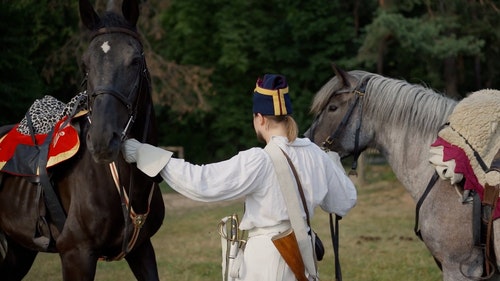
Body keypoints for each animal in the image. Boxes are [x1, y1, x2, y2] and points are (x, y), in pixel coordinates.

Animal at [0, 1, 165, 278]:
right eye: (85, 64)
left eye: (135, 60)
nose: (101, 140)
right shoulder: (76, 256)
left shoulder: (142, 249)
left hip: (19, 251)